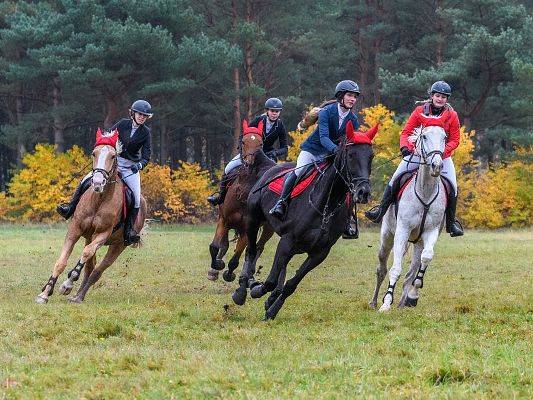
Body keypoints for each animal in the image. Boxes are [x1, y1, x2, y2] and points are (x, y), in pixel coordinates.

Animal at [35, 130, 145, 304]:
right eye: (94, 153)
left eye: (113, 156)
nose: (98, 183)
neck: (99, 200)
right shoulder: (75, 229)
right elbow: (61, 262)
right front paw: (45, 293)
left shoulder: (103, 234)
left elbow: (85, 254)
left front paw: (67, 284)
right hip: (89, 237)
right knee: (90, 266)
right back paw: (76, 296)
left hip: (118, 245)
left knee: (97, 270)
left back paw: (78, 295)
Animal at [207, 128, 276, 282]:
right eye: (243, 142)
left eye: (261, 143)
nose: (250, 162)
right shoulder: (224, 220)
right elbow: (215, 246)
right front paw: (215, 267)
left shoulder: (246, 229)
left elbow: (235, 259)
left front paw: (229, 274)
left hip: (269, 228)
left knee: (257, 248)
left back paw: (248, 273)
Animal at [234, 123, 378, 320]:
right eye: (351, 155)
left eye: (370, 156)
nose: (363, 192)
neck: (326, 205)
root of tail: (270, 167)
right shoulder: (288, 240)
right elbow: (270, 281)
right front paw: (257, 290)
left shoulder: (319, 253)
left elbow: (291, 284)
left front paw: (272, 309)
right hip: (253, 220)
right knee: (251, 251)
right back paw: (241, 291)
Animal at [370, 126, 448, 310]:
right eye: (424, 137)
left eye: (445, 137)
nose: (437, 166)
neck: (426, 193)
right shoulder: (402, 231)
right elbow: (395, 269)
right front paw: (386, 303)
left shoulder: (431, 232)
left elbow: (426, 258)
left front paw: (413, 296)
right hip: (387, 237)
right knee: (381, 269)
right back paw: (375, 301)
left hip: (418, 242)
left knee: (410, 273)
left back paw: (403, 302)